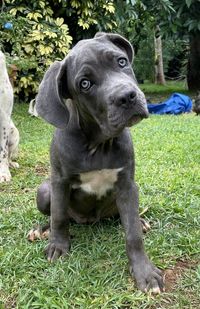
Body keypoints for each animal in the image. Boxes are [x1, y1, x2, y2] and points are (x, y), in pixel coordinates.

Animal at [34, 32, 163, 292]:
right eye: (85, 84)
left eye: (121, 62)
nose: (127, 97)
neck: (98, 143)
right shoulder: (59, 182)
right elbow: (58, 217)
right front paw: (57, 246)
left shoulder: (127, 186)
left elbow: (133, 234)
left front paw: (145, 273)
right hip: (44, 191)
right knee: (56, 215)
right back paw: (40, 231)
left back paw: (142, 221)